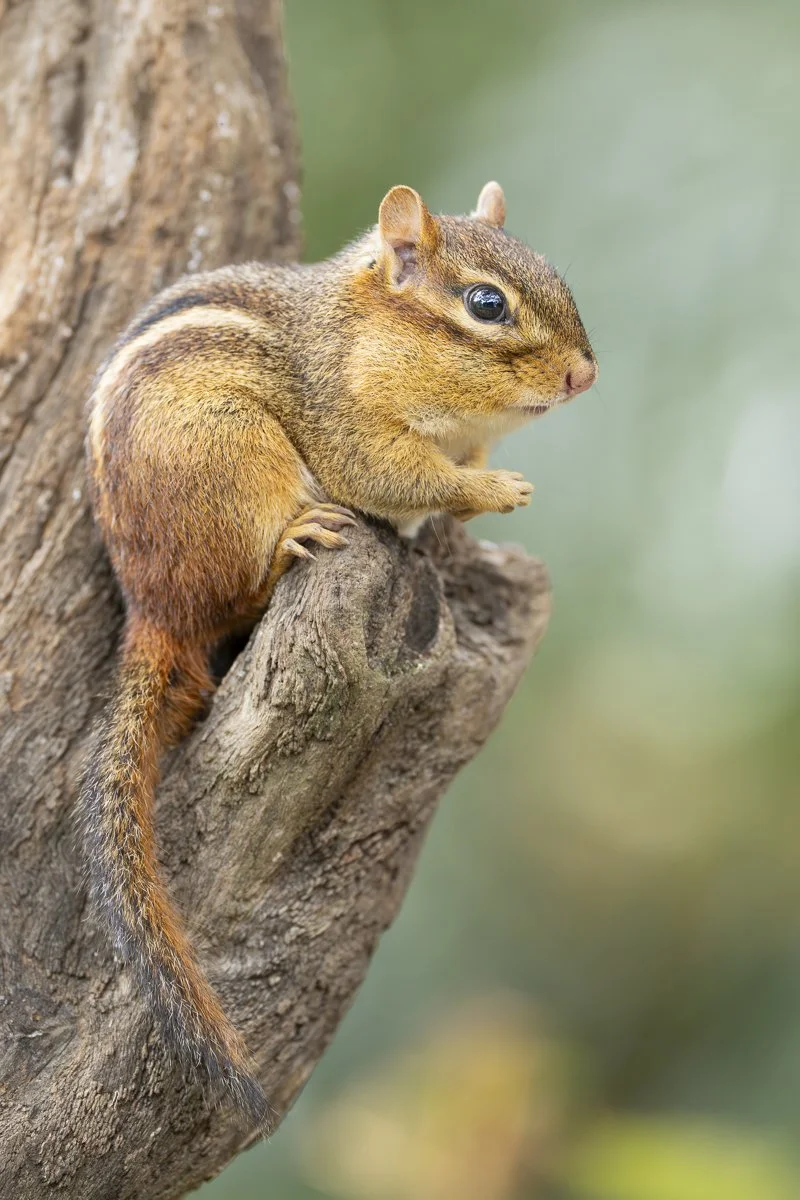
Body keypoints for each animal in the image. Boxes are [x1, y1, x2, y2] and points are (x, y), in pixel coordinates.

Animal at [79, 181, 597, 1128]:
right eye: (486, 305)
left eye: (552, 273)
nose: (585, 375)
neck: (362, 334)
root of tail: (151, 608)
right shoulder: (350, 424)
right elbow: (395, 476)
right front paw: (491, 490)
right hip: (233, 458)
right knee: (244, 589)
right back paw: (296, 538)